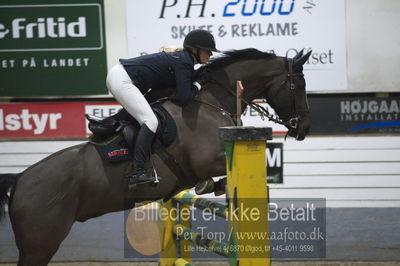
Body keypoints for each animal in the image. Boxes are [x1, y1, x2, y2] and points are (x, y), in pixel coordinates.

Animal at [0, 48, 312, 266]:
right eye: (299, 85)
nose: (304, 128)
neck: (212, 102)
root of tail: (19, 180)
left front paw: (213, 187)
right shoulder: (206, 159)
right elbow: (222, 176)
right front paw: (220, 187)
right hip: (41, 242)